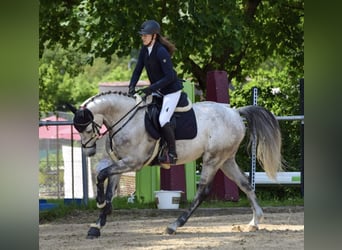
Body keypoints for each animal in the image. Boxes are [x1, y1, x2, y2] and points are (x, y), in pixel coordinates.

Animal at [67, 91, 284, 238]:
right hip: (226, 160)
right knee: (245, 184)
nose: (89, 152)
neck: (126, 120)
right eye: (78, 130)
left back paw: (174, 225)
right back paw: (255, 221)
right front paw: (97, 224)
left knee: (203, 191)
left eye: (87, 129)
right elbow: (108, 186)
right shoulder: (119, 162)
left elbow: (101, 175)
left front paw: (100, 204)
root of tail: (235, 113)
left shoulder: (133, 163)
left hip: (212, 159)